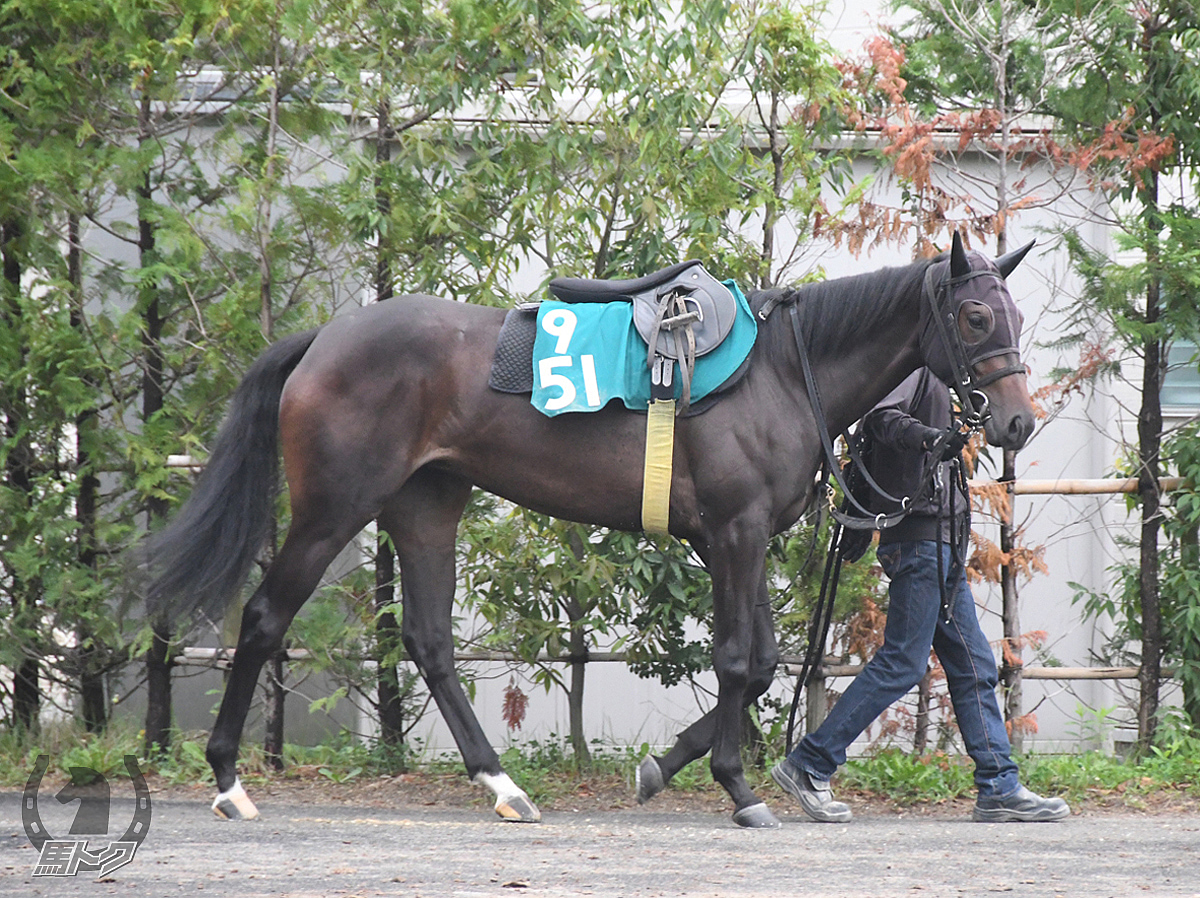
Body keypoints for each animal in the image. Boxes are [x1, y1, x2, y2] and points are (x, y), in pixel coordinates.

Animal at [145, 231, 1036, 825]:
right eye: (976, 317)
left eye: (1014, 315)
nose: (1019, 422)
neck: (783, 370)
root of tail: (322, 341)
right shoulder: (735, 533)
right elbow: (737, 660)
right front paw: (737, 785)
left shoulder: (739, 540)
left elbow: (759, 662)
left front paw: (665, 767)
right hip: (334, 508)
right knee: (266, 618)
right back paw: (228, 782)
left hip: (427, 507)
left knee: (429, 642)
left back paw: (502, 785)